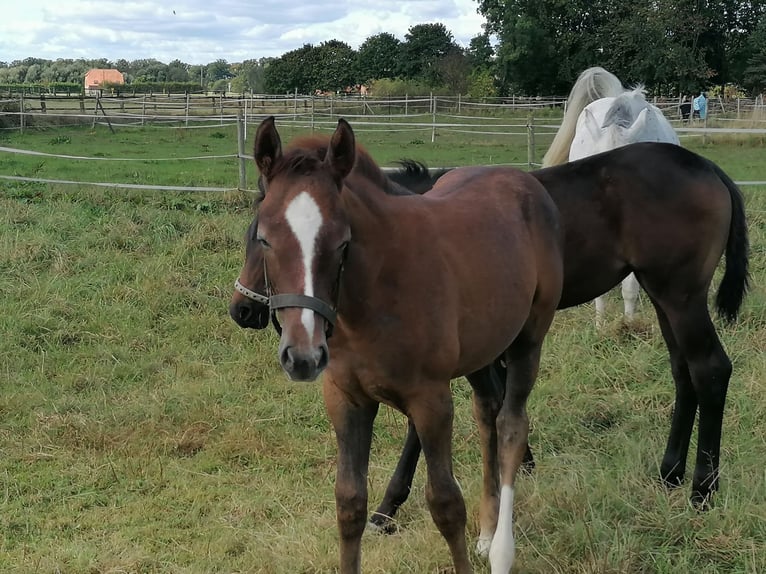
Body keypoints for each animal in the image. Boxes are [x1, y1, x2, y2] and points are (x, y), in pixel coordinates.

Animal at [232, 141, 752, 528]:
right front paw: (521, 463)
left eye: (257, 236)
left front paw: (389, 507)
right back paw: (670, 473)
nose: (243, 309)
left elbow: (431, 426)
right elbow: (493, 402)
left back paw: (703, 489)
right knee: (683, 372)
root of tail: (710, 168)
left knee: (710, 369)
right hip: (663, 295)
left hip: (680, 296)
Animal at [246, 118, 564, 574]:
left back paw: (502, 550)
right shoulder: (345, 399)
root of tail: (525, 180)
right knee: (487, 412)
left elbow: (446, 504)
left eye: (343, 241)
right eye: (265, 237)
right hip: (482, 350)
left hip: (528, 339)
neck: (375, 295)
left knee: (511, 426)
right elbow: (349, 504)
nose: (302, 356)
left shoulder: (431, 401)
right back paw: (486, 533)